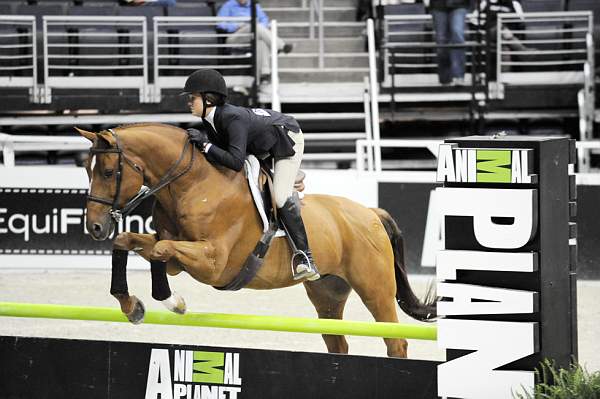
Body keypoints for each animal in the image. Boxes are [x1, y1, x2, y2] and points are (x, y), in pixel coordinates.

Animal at [79, 123, 436, 358]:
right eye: (86, 169)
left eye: (108, 172)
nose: (95, 227)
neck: (193, 185)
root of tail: (370, 213)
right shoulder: (180, 261)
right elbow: (131, 242)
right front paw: (131, 305)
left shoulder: (213, 262)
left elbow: (160, 249)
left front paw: (172, 302)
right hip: (328, 293)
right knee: (338, 342)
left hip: (375, 289)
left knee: (395, 340)